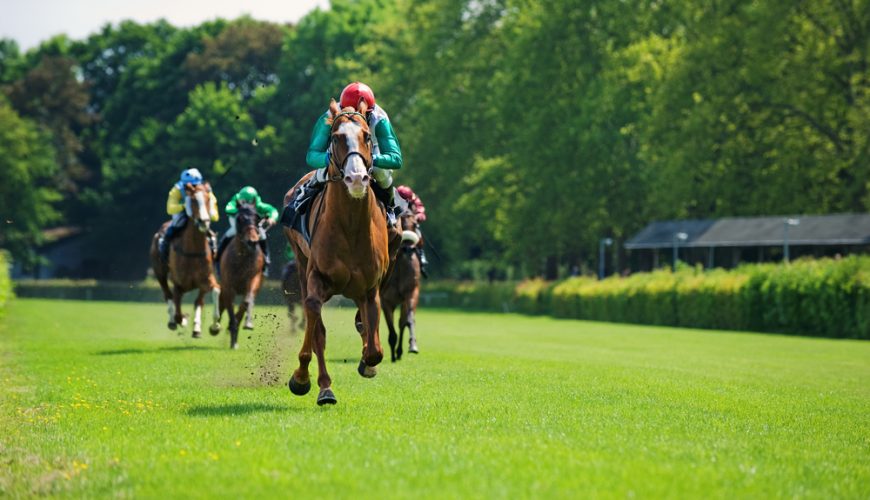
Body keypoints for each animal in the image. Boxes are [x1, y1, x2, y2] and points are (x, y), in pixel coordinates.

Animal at [149, 182, 220, 338]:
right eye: (192, 201)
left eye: (208, 199)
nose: (204, 222)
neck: (193, 251)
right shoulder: (179, 285)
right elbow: (177, 311)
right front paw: (183, 320)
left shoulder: (205, 280)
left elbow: (215, 291)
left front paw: (214, 326)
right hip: (160, 272)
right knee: (168, 295)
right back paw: (173, 321)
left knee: (198, 301)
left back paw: (197, 328)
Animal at [215, 203, 265, 349]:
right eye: (239, 219)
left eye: (257, 218)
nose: (252, 242)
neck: (242, 257)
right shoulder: (228, 285)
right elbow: (229, 304)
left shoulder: (254, 279)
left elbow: (246, 302)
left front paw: (247, 324)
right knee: (222, 302)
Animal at [283, 99, 390, 406]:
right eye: (335, 138)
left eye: (367, 136)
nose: (356, 179)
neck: (351, 226)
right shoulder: (317, 278)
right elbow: (315, 324)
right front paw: (304, 379)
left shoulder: (370, 287)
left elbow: (374, 349)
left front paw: (367, 363)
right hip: (301, 263)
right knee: (315, 324)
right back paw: (320, 385)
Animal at [380, 213, 422, 362]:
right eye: (401, 223)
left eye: (415, 224)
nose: (409, 250)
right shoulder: (385, 299)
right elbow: (391, 327)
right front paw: (392, 354)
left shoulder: (411, 292)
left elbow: (407, 321)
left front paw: (413, 345)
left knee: (402, 322)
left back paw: (399, 351)